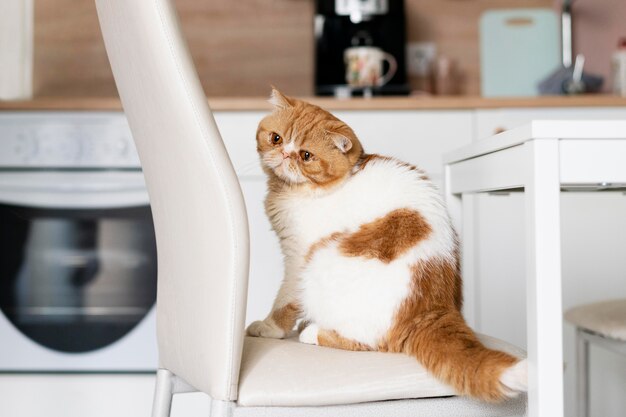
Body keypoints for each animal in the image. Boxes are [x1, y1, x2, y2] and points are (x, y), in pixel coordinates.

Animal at [246, 88, 524, 404]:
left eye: (306, 155)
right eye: (276, 138)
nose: (284, 154)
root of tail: (433, 309)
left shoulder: (298, 258)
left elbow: (284, 301)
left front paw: (268, 328)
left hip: (321, 262)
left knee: (370, 342)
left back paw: (312, 331)